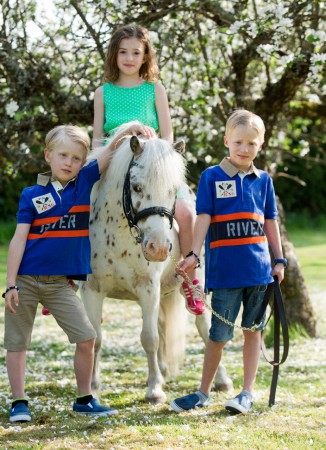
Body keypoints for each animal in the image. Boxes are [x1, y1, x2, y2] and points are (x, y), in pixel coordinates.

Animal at [81, 126, 232, 404]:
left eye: (173, 190)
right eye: (136, 186)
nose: (159, 248)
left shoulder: (147, 288)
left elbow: (148, 338)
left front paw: (154, 390)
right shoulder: (91, 290)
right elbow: (95, 339)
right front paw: (93, 387)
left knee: (205, 328)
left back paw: (222, 380)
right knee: (162, 325)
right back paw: (163, 370)